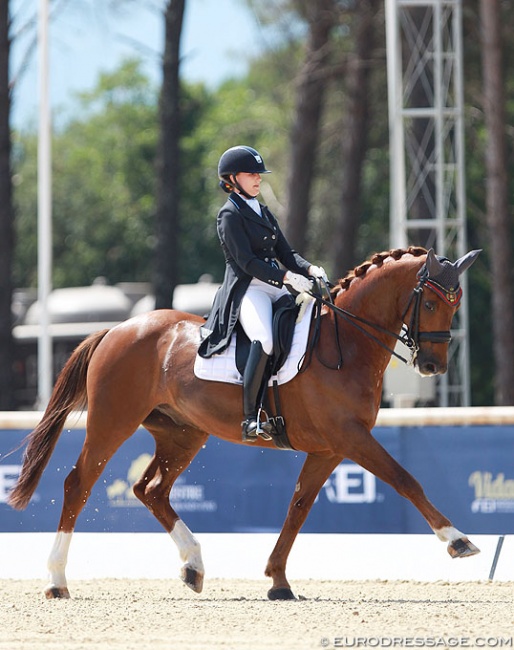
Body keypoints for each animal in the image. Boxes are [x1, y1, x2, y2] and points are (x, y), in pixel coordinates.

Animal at [8, 247, 480, 596]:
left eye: (456, 306)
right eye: (431, 302)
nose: (434, 366)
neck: (345, 342)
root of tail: (117, 329)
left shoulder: (330, 448)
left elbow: (298, 507)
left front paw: (278, 580)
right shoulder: (351, 437)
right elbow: (405, 480)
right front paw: (458, 540)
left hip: (183, 434)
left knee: (150, 490)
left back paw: (193, 565)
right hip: (112, 422)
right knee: (79, 484)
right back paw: (56, 580)